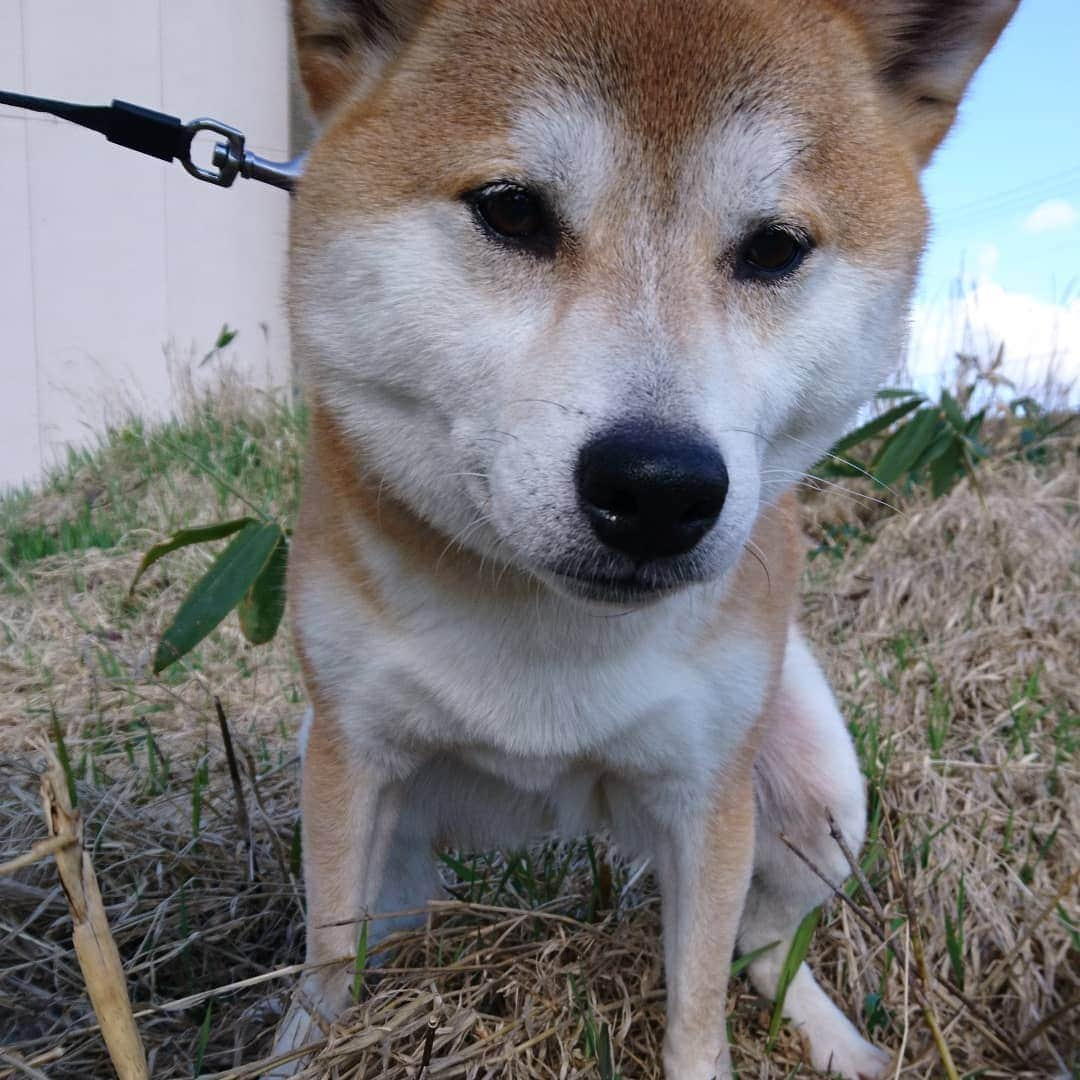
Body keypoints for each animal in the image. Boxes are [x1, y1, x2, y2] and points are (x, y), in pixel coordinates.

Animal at [274, 4, 1015, 1075]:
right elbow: (327, 971)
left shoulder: (709, 796)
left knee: (761, 947)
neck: (549, 634)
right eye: (512, 211)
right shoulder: (353, 755)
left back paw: (844, 1047)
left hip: (817, 794)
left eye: (774, 248)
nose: (660, 489)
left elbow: (698, 1007)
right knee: (388, 923)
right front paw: (304, 1047)